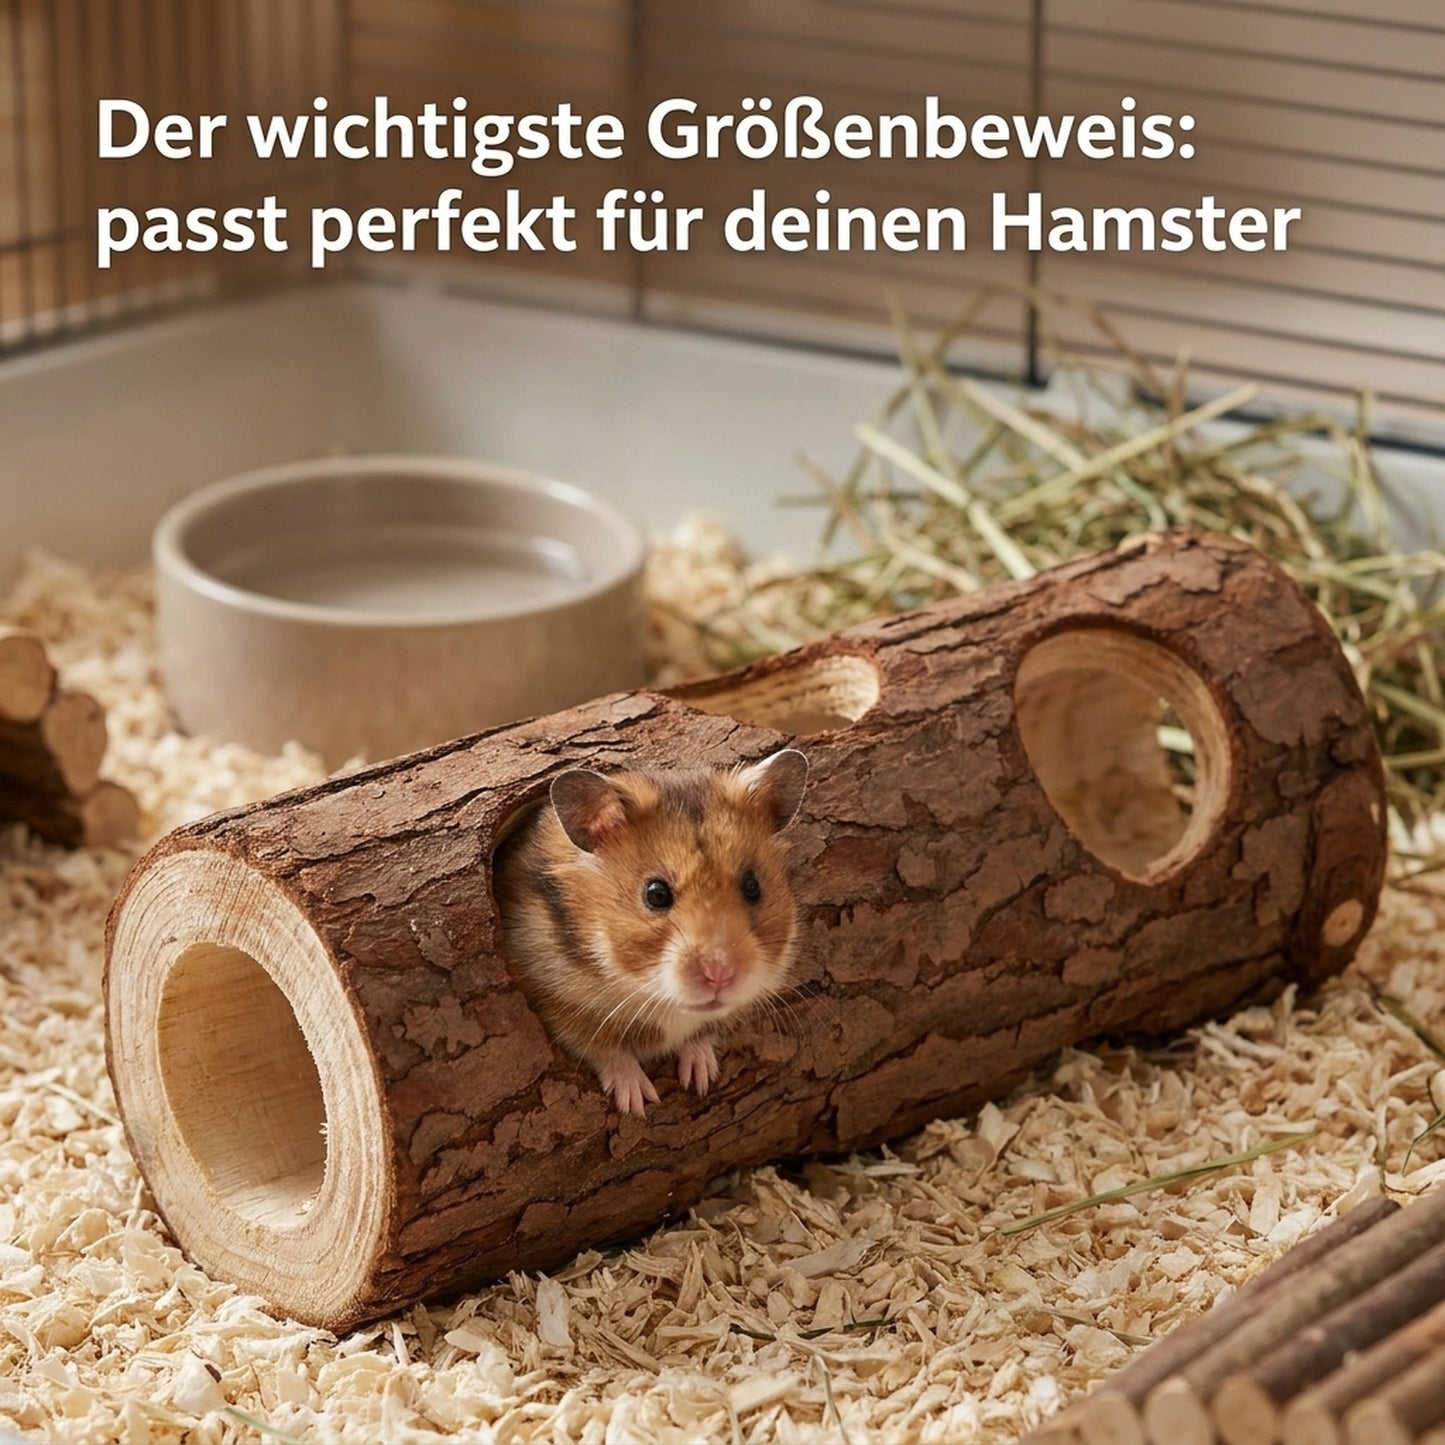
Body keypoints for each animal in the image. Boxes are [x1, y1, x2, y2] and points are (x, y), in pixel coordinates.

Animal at [495, 749, 809, 1116]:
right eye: (656, 894)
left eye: (752, 887)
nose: (720, 975)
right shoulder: (551, 998)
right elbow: (603, 1048)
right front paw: (637, 1102)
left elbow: (702, 1034)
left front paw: (700, 1078)